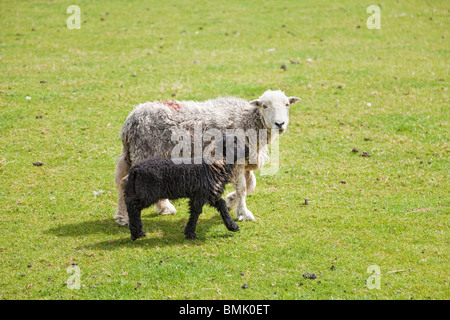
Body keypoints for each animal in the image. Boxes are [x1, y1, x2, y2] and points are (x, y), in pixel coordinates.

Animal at [114, 89, 300, 226]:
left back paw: (163, 208)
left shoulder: (247, 162)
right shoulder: (237, 162)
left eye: (287, 104)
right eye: (265, 106)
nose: (280, 124)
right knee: (125, 182)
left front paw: (230, 201)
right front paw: (244, 213)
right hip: (143, 153)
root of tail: (130, 120)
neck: (248, 120)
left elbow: (250, 185)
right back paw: (124, 218)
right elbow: (242, 188)